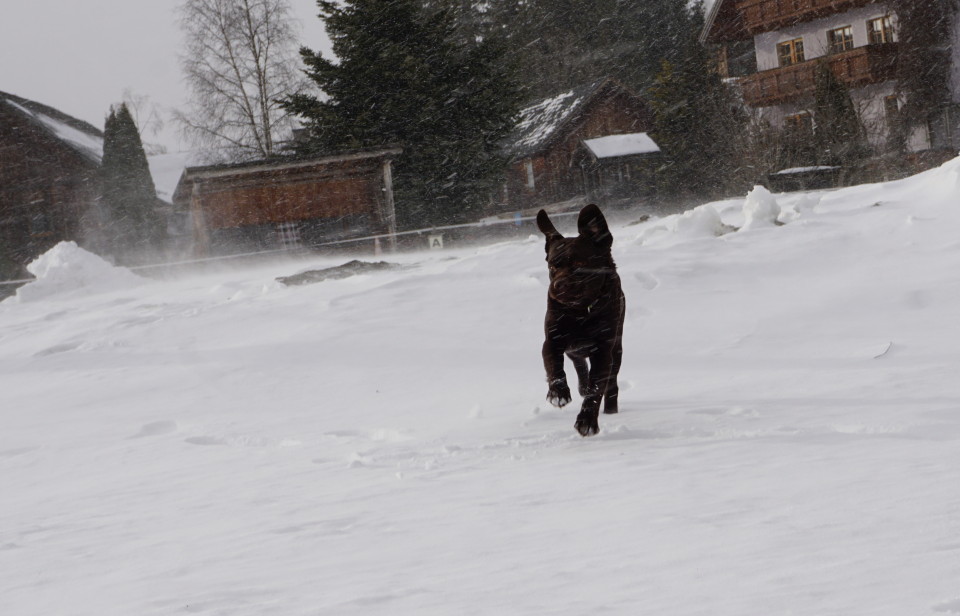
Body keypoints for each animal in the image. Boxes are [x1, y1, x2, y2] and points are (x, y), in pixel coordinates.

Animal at [536, 205, 628, 436]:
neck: (580, 312)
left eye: (579, 264)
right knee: (577, 362)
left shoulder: (603, 350)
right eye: (552, 267)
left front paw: (587, 421)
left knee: (611, 384)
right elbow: (554, 365)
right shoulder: (552, 340)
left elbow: (596, 390)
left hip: (617, 349)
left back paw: (611, 409)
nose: (558, 285)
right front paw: (558, 393)